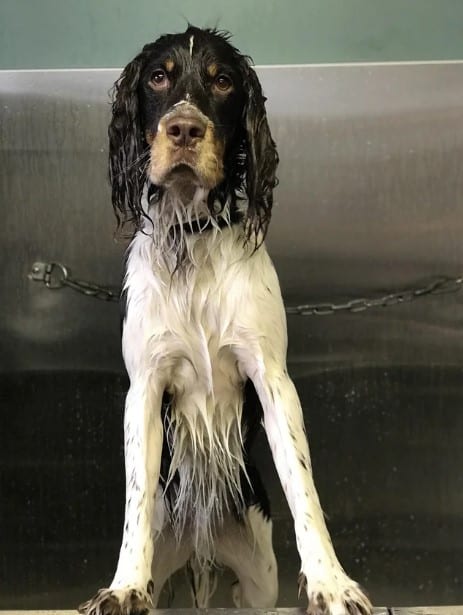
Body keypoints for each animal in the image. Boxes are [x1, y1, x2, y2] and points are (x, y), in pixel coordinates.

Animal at [78, 25, 372, 615]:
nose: (184, 128)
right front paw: (123, 586)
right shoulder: (145, 387)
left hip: (256, 575)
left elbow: (303, 487)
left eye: (222, 81)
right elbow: (135, 499)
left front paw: (331, 583)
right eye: (158, 76)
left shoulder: (273, 379)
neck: (193, 240)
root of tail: (202, 545)